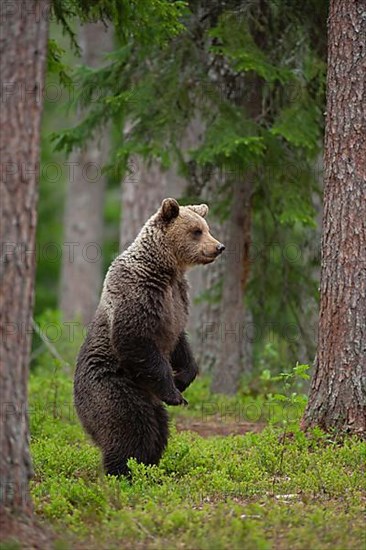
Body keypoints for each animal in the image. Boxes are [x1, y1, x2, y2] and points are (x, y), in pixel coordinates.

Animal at [73, 199, 224, 478]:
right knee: (132, 427)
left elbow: (179, 342)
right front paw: (175, 393)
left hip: (150, 401)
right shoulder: (139, 293)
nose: (219, 247)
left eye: (206, 228)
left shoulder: (177, 300)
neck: (165, 269)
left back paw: (148, 467)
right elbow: (136, 340)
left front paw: (183, 379)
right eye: (196, 231)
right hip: (115, 387)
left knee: (159, 430)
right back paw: (125, 470)